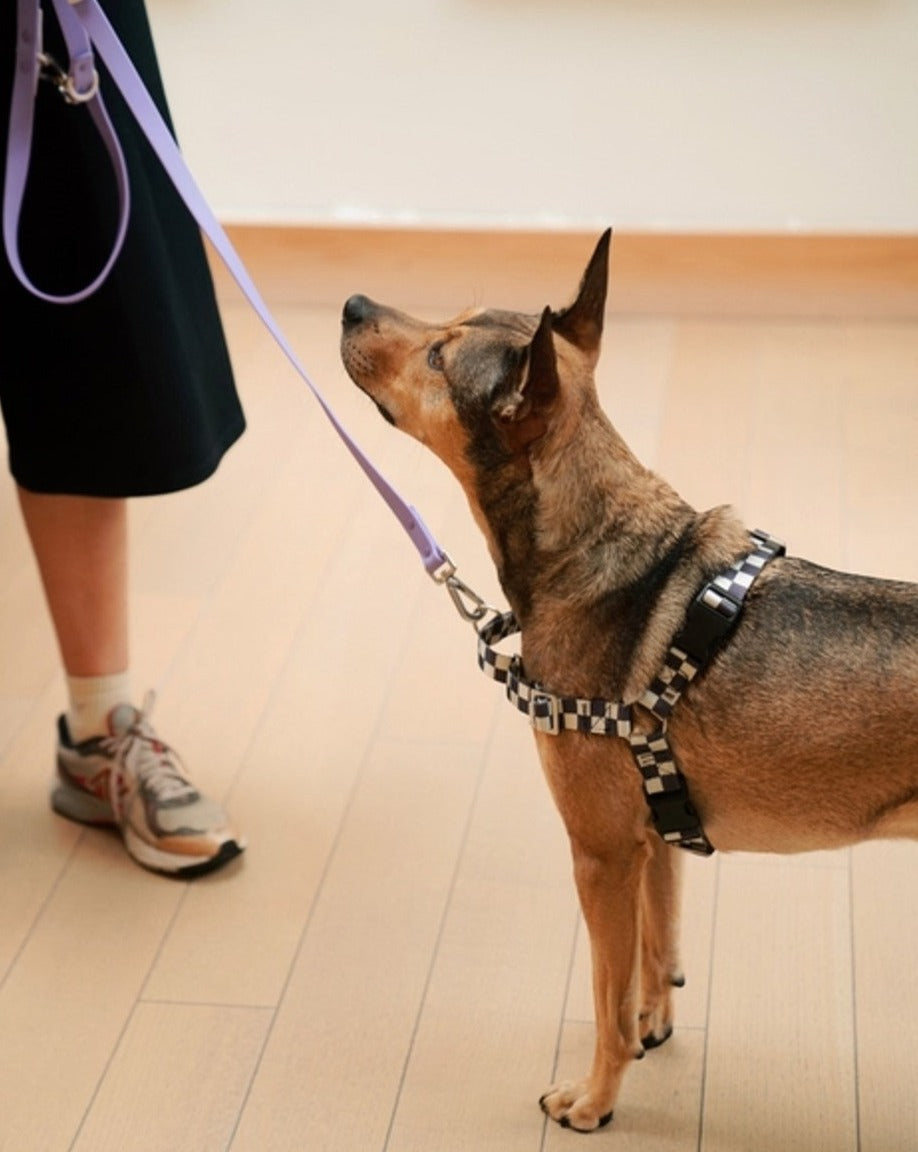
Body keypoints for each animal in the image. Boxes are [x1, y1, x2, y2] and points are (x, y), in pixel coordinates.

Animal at [338, 233, 916, 1133]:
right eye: (449, 321)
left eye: (438, 355)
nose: (352, 304)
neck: (594, 544)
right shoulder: (654, 837)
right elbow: (657, 944)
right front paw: (655, 1021)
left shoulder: (600, 854)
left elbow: (604, 994)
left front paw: (594, 1099)